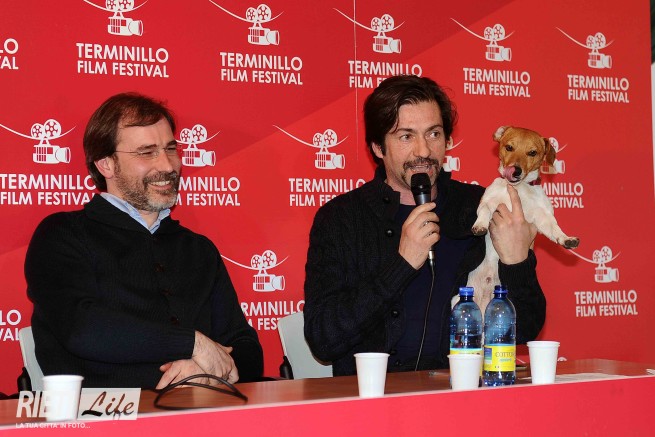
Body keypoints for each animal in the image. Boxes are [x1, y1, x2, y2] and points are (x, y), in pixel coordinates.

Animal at [466, 125, 579, 313]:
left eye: (532, 152)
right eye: (509, 147)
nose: (515, 170)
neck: (518, 188)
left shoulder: (542, 217)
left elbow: (555, 229)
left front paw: (566, 239)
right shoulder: (488, 202)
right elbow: (484, 212)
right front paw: (480, 225)